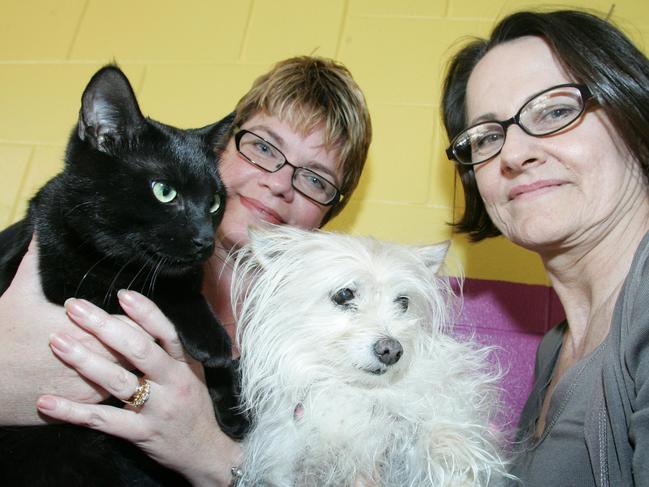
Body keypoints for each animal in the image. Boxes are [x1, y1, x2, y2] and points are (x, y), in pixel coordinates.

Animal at [0, 66, 246, 486]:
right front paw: (213, 341)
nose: (205, 240)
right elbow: (138, 286)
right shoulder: (63, 281)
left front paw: (232, 403)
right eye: (164, 192)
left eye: (214, 202)